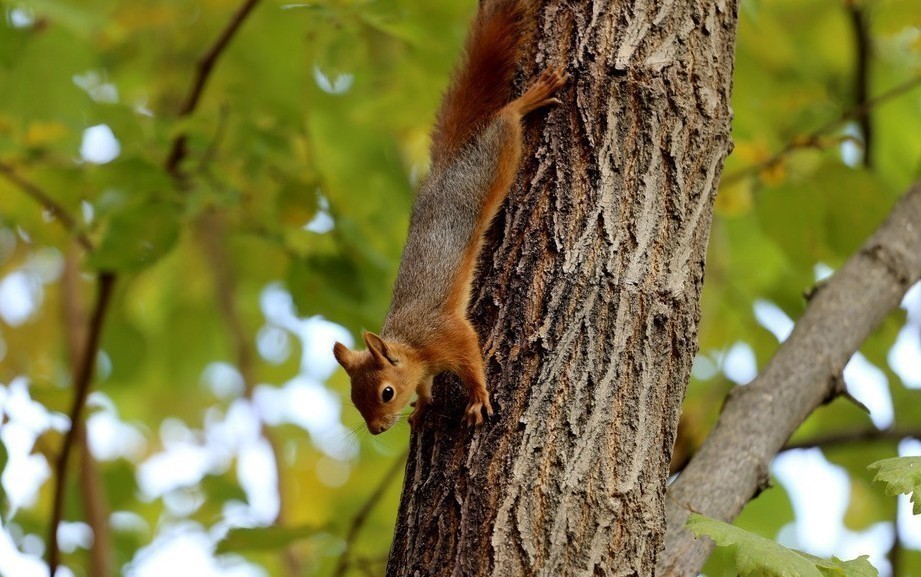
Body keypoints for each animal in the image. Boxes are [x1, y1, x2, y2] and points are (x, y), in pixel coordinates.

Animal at [328, 0, 564, 432]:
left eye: (386, 392)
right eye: (355, 400)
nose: (377, 429)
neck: (413, 345)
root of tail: (445, 168)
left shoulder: (450, 333)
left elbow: (471, 358)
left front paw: (478, 397)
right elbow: (425, 386)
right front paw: (422, 405)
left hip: (492, 161)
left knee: (505, 122)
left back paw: (527, 101)